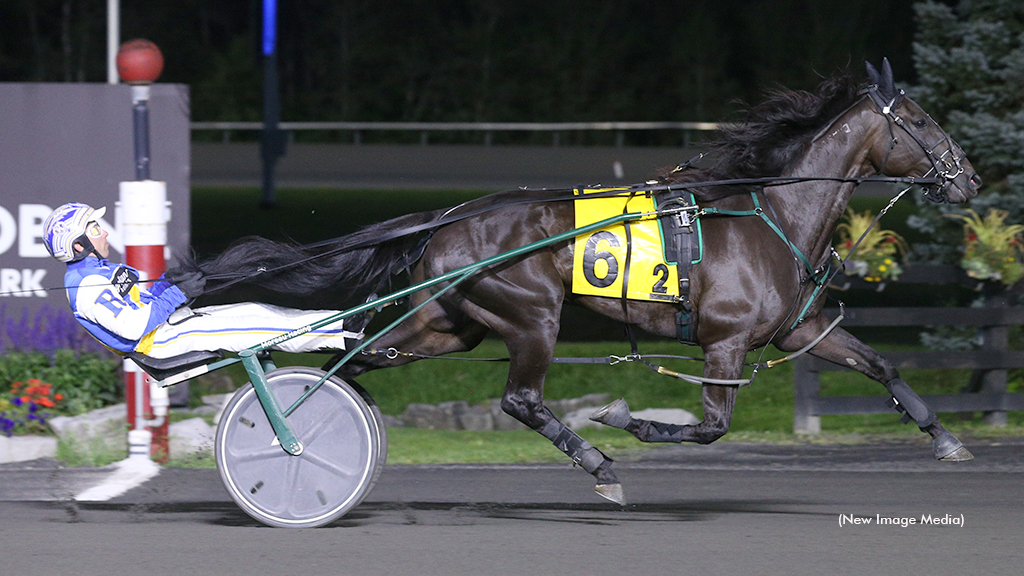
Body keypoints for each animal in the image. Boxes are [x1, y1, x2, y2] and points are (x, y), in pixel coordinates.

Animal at [186, 60, 983, 504]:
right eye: (919, 121)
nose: (968, 178)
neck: (770, 211)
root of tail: (451, 214)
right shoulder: (725, 342)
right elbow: (711, 427)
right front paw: (626, 420)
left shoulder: (800, 329)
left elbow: (881, 364)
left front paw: (946, 439)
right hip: (532, 318)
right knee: (519, 400)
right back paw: (598, 463)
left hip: (452, 320)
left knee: (363, 354)